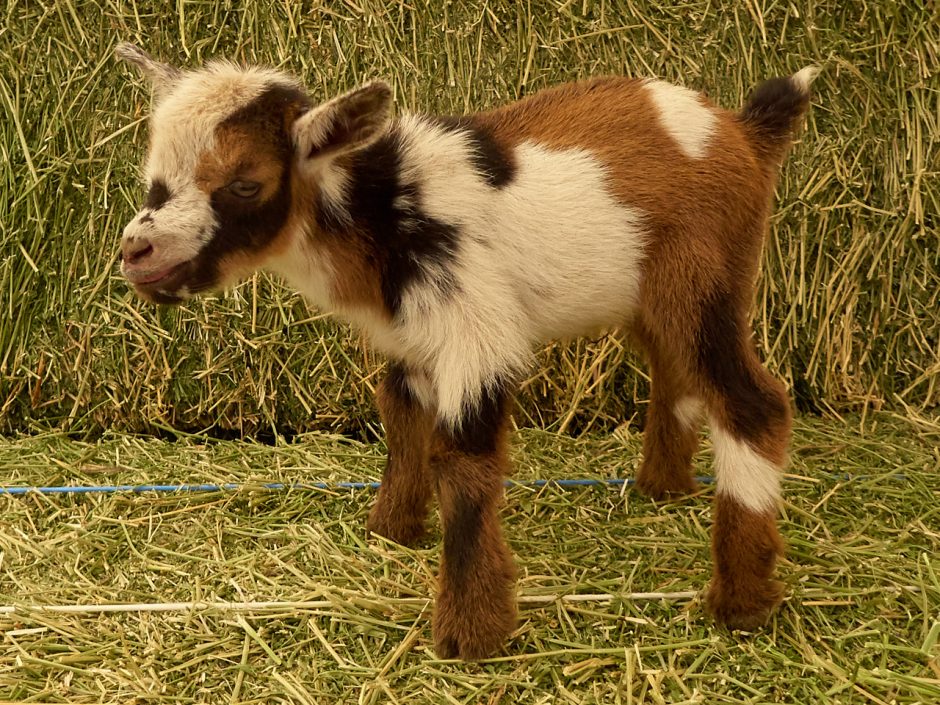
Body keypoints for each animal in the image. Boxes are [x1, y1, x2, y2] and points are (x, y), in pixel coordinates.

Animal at [115, 43, 816, 660]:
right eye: (155, 175)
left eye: (245, 183)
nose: (136, 251)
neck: (383, 212)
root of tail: (741, 131)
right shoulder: (415, 340)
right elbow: (400, 416)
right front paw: (392, 530)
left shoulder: (476, 332)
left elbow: (462, 463)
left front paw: (469, 635)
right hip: (656, 294)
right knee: (676, 373)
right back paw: (661, 491)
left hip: (706, 274)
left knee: (752, 402)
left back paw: (742, 602)